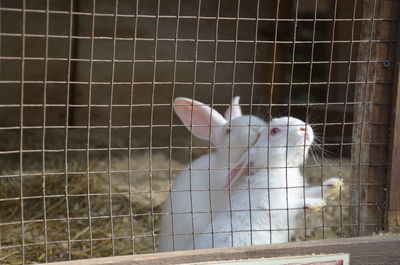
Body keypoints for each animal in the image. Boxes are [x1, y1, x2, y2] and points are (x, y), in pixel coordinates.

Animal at [188, 116, 344, 249]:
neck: (278, 168)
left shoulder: (298, 192)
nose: (304, 128)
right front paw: (316, 204)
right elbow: (294, 205)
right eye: (274, 131)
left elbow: (312, 191)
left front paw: (335, 185)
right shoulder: (274, 206)